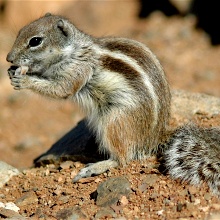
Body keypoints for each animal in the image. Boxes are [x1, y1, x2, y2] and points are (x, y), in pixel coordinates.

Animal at [6, 13, 220, 196]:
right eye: (20, 31)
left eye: (35, 41)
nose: (9, 58)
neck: (72, 49)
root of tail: (154, 137)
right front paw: (13, 72)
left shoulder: (79, 69)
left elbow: (62, 89)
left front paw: (24, 80)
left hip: (114, 121)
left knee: (123, 159)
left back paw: (96, 167)